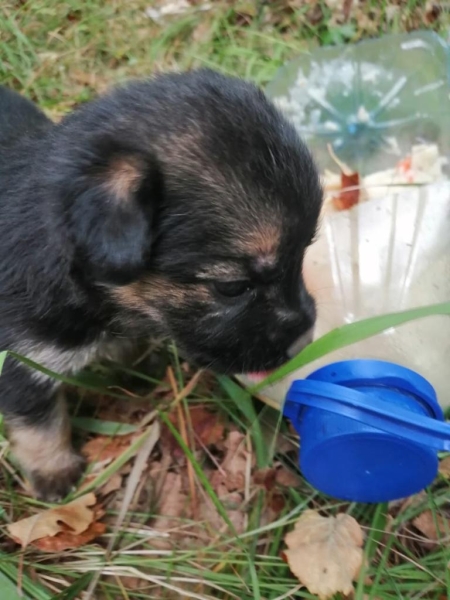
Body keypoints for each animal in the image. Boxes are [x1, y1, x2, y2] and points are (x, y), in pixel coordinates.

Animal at [0, 70, 324, 502]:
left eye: (305, 252)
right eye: (232, 287)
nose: (305, 342)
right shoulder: (22, 360)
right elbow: (40, 424)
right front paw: (54, 473)